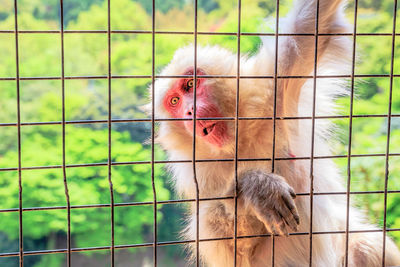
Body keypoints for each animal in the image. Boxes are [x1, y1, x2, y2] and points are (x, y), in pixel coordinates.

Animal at [146, 0, 400, 266]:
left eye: (190, 85)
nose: (189, 111)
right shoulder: (199, 174)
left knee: (365, 245)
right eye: (174, 101)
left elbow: (313, 21)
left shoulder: (274, 85)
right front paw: (256, 189)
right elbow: (233, 247)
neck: (238, 140)